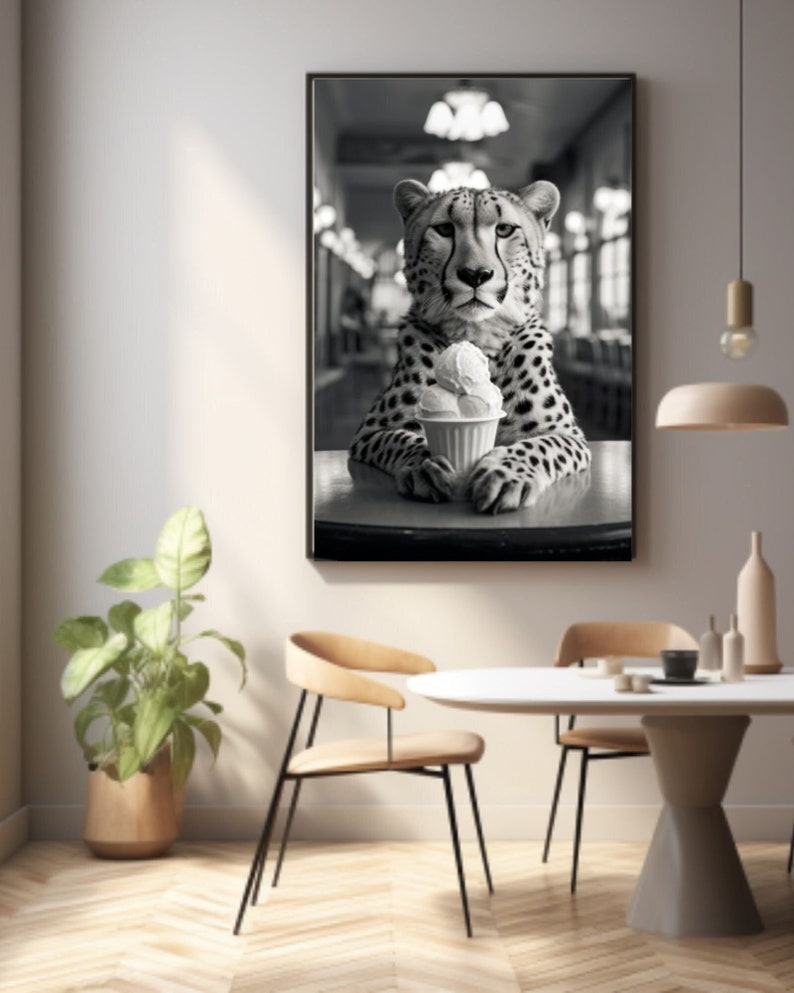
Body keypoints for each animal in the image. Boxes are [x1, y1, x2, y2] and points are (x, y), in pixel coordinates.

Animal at [348, 178, 591, 514]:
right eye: (444, 229)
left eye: (504, 230)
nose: (475, 274)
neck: (477, 338)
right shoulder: (370, 432)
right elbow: (401, 438)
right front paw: (426, 464)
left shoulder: (568, 434)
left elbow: (539, 446)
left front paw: (505, 472)